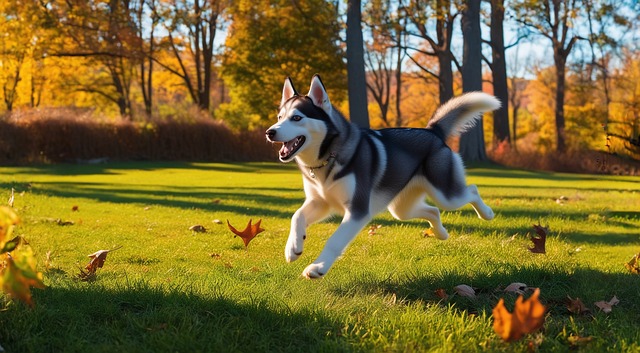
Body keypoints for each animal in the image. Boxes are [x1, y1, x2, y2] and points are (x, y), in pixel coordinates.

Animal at [264, 74, 500, 278]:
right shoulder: (321, 202)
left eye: (297, 118)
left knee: (471, 191)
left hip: (446, 195)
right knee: (433, 211)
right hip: (401, 209)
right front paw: (293, 247)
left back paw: (487, 213)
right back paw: (441, 233)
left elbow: (335, 240)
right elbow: (297, 216)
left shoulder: (357, 211)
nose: (270, 132)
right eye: (279, 117)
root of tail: (433, 131)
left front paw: (318, 267)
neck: (326, 158)